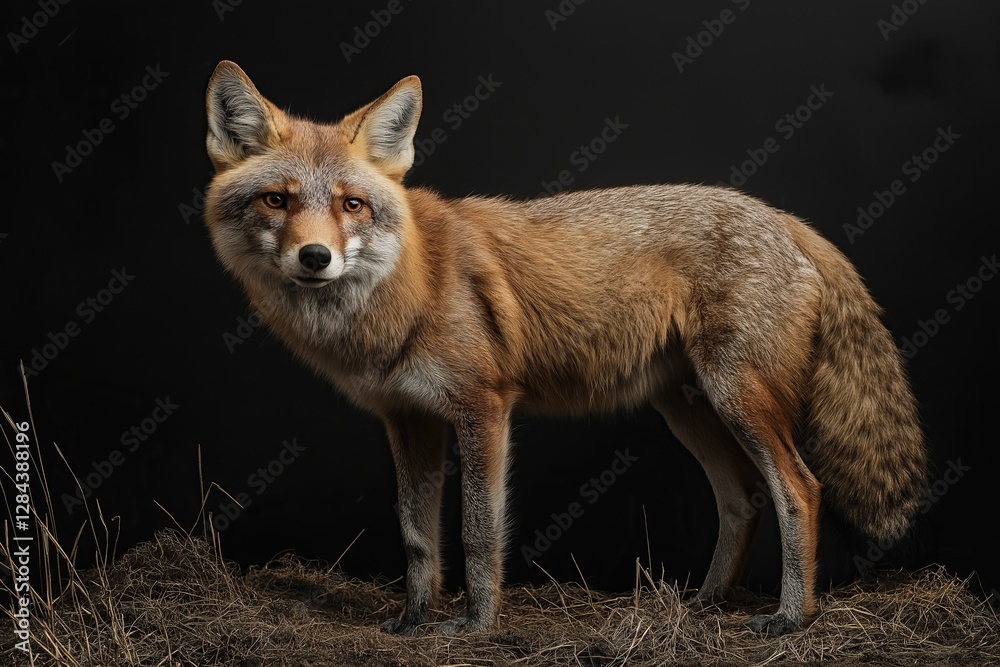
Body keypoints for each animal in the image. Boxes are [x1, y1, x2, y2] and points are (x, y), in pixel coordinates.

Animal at [202, 61, 928, 636]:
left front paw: (476, 626)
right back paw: (704, 604)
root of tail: (785, 218)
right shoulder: (407, 420)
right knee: (744, 498)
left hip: (738, 398)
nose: (314, 257)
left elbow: (477, 532)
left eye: (351, 204)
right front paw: (414, 621)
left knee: (800, 489)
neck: (407, 288)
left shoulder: (483, 408)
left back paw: (791, 618)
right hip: (690, 410)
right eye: (277, 200)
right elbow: (416, 536)